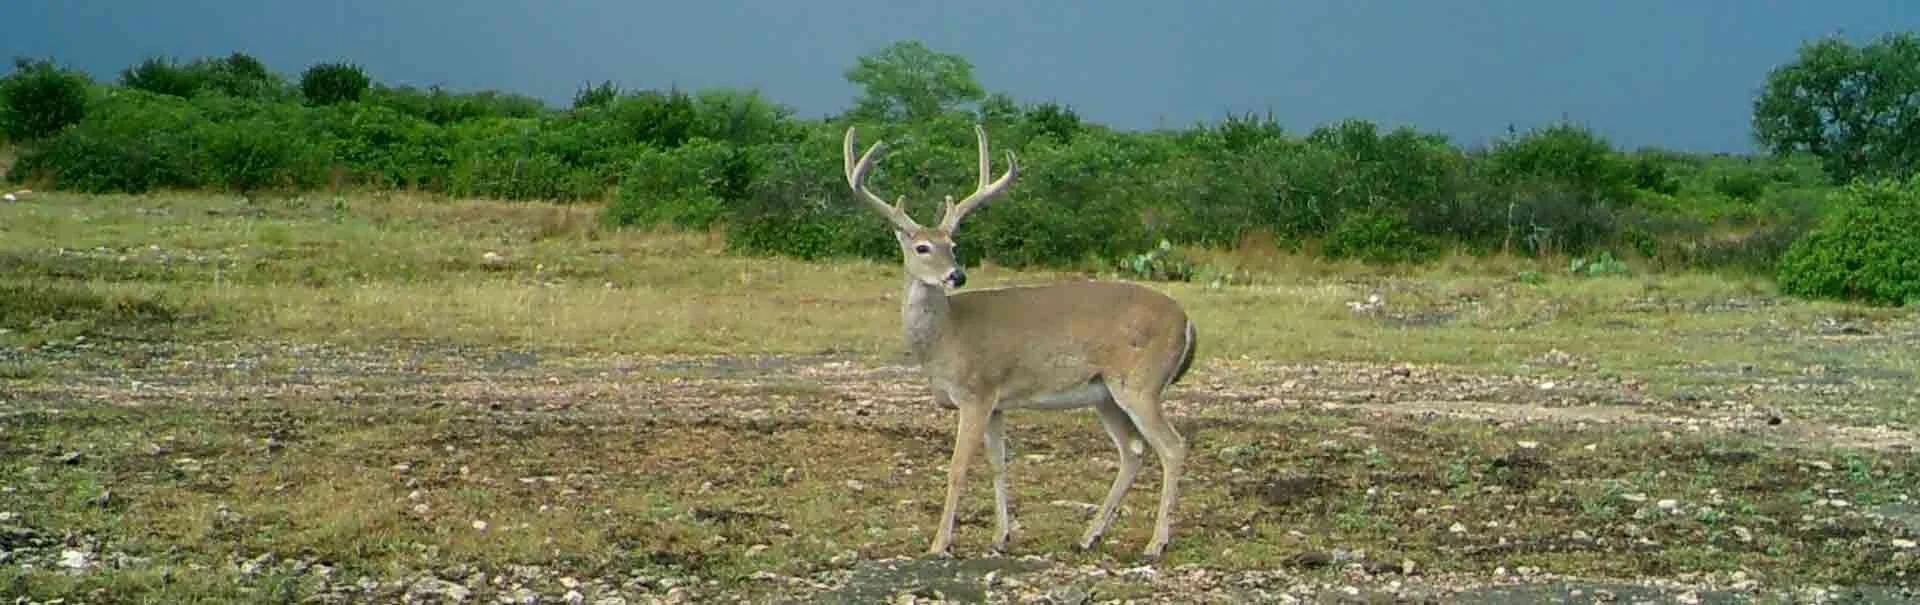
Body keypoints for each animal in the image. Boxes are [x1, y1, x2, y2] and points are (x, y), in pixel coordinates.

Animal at [841, 123, 1200, 561]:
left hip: (1141, 383)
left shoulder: (976, 392)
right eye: (922, 246)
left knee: (1172, 446)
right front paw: (1001, 537)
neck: (946, 337)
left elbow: (958, 468)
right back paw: (1088, 536)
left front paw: (939, 543)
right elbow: (998, 463)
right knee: (1132, 451)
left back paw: (1155, 543)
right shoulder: (997, 402)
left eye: (953, 246)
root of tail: (1187, 322)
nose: (957, 275)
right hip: (1105, 394)